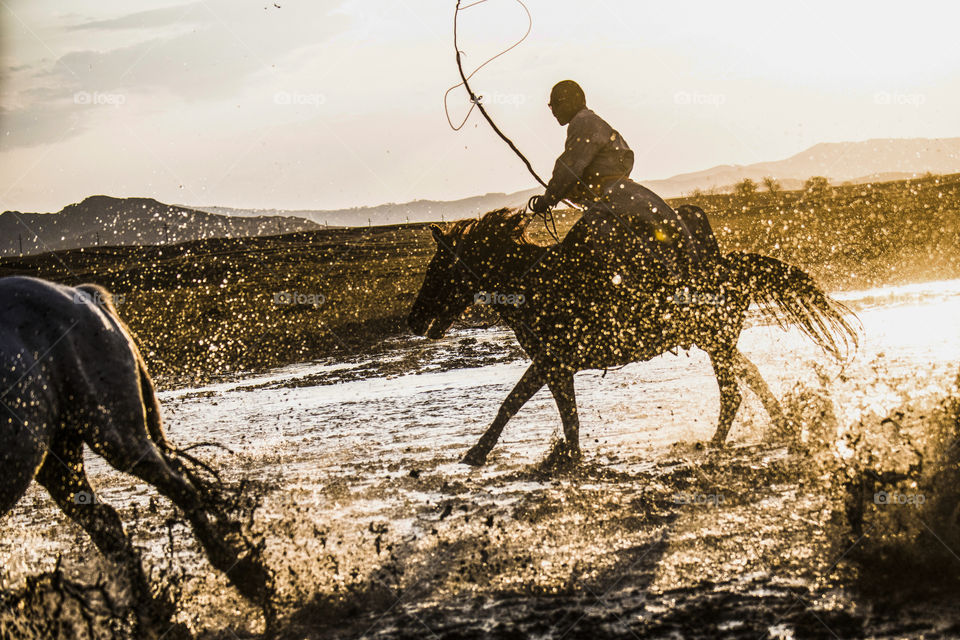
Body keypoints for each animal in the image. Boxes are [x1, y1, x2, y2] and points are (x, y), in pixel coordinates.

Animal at [0, 276, 270, 636]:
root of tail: (79, 294)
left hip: (113, 433)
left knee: (178, 487)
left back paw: (244, 576)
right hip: (59, 457)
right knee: (108, 525)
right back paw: (153, 617)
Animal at [404, 209, 856, 464]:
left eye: (437, 269)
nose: (413, 320)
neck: (532, 282)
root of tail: (731, 263)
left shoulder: (551, 361)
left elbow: (521, 406)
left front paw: (479, 454)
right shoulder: (555, 365)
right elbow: (555, 413)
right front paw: (565, 455)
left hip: (715, 342)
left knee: (732, 393)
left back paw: (714, 444)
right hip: (719, 342)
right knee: (752, 377)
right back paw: (784, 427)